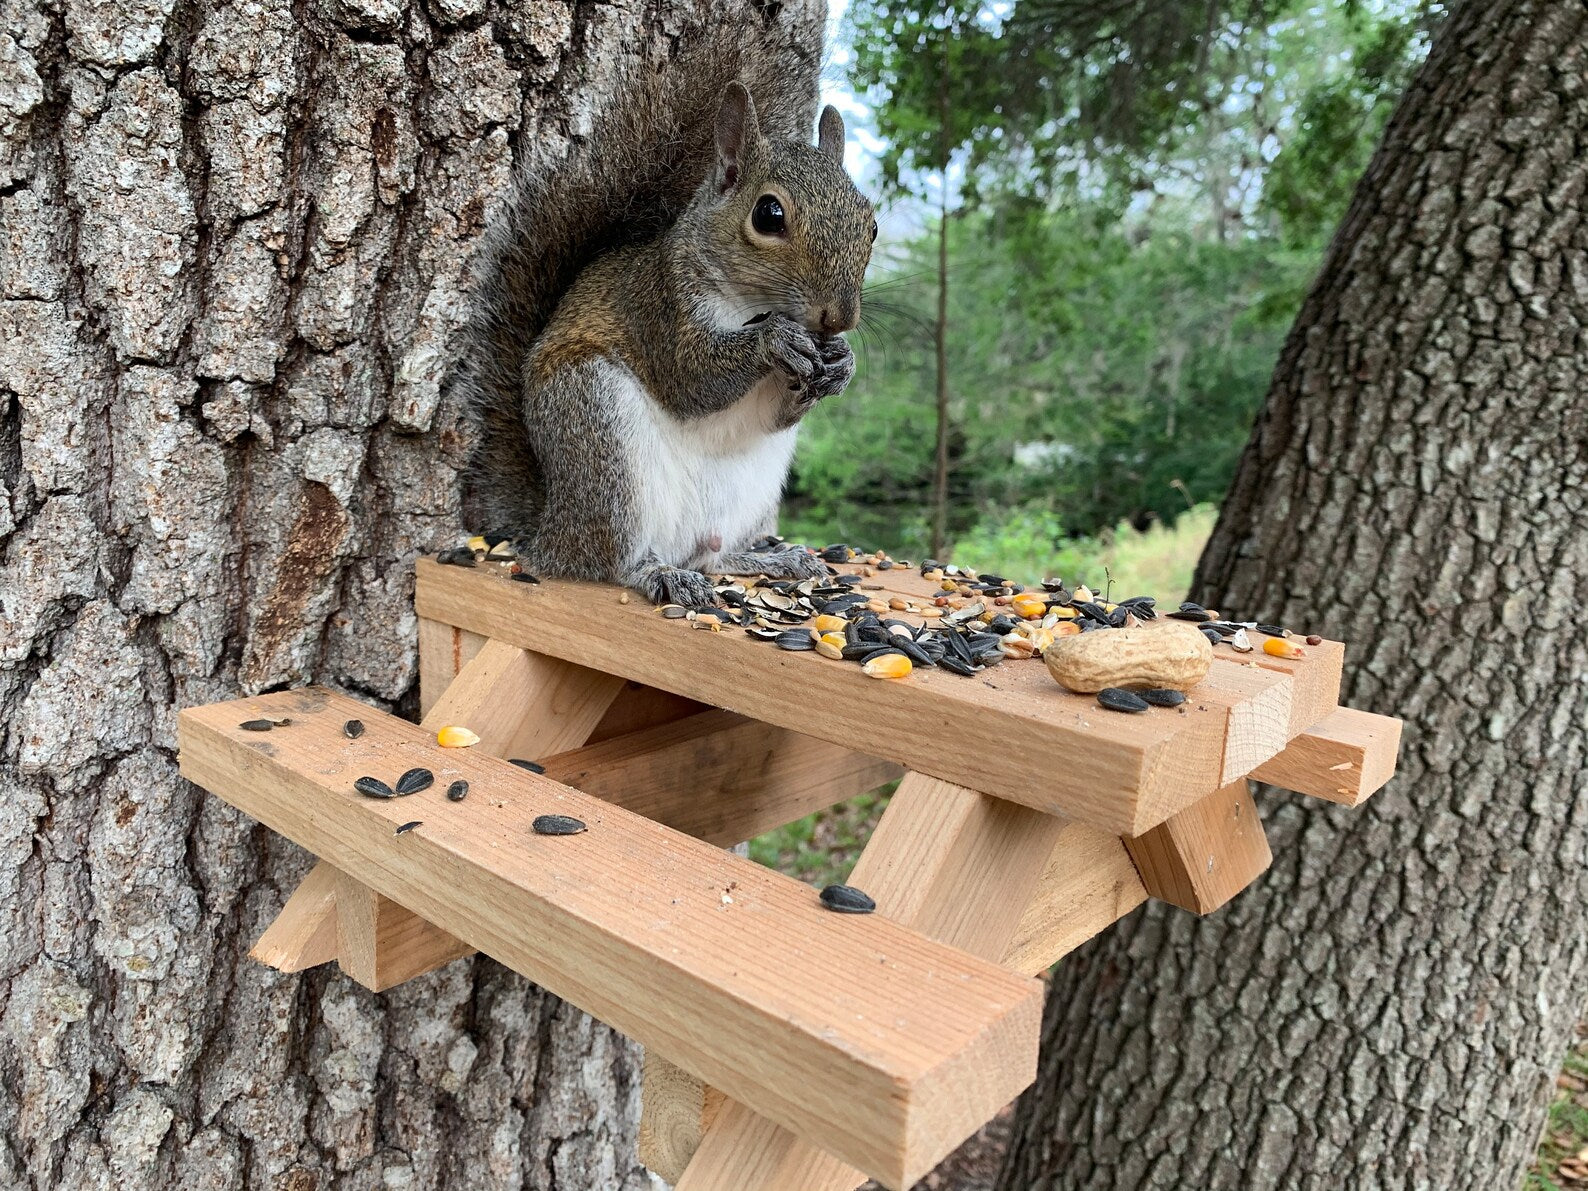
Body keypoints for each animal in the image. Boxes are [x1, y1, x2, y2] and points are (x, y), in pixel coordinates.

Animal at [452, 19, 876, 608]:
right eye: (768, 215)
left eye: (871, 223)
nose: (838, 319)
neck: (752, 305)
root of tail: (551, 529)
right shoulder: (660, 307)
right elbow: (690, 379)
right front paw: (775, 342)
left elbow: (779, 412)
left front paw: (841, 363)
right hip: (598, 433)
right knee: (608, 561)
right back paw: (659, 574)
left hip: (744, 497)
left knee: (713, 555)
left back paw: (771, 559)